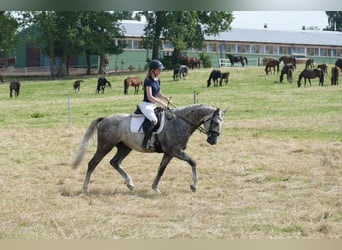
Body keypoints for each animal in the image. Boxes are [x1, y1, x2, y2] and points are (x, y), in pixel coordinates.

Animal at [71, 103, 227, 193]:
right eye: (215, 122)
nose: (213, 141)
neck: (180, 122)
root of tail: (105, 118)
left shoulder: (169, 153)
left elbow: (161, 170)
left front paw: (155, 188)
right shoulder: (175, 151)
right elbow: (193, 162)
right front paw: (194, 186)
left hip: (125, 147)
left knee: (115, 162)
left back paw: (130, 184)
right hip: (105, 146)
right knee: (93, 163)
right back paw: (85, 188)